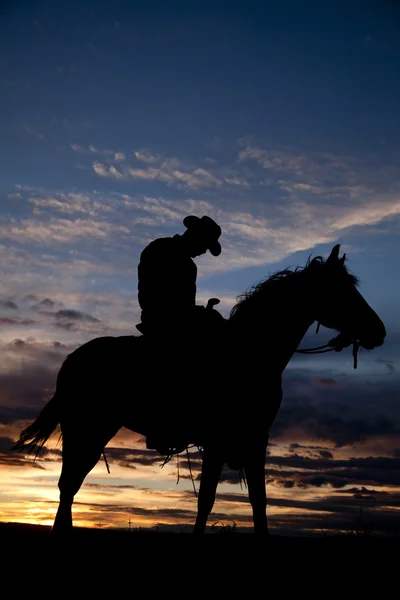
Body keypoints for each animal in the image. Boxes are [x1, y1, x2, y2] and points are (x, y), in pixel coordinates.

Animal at [12, 245, 386, 540]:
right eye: (343, 290)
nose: (379, 331)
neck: (249, 353)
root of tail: (73, 360)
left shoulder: (255, 440)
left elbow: (258, 502)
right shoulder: (220, 441)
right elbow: (206, 500)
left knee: (69, 486)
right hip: (88, 429)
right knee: (68, 486)